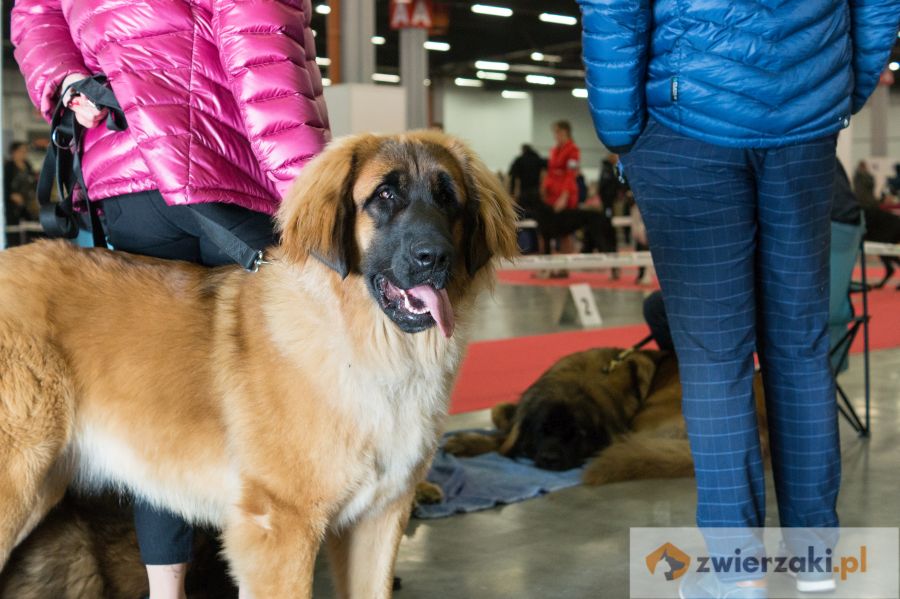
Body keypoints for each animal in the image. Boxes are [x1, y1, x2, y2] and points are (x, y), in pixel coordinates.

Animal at [0, 132, 516, 599]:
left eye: (448, 199)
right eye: (384, 197)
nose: (435, 258)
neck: (365, 344)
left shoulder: (377, 518)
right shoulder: (281, 527)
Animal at [442, 350, 768, 486]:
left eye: (578, 434)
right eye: (542, 430)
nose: (550, 460)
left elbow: (501, 437)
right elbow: (500, 414)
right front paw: (469, 440)